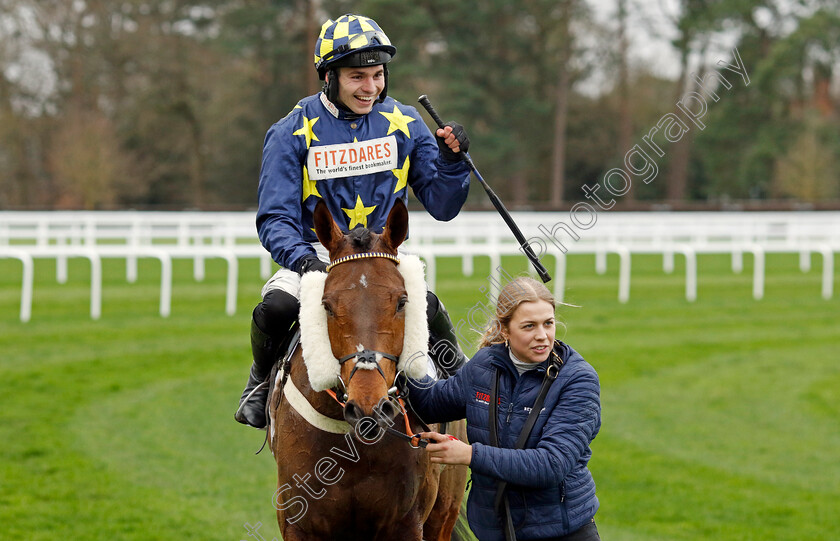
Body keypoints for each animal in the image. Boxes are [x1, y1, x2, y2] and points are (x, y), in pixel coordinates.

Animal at [268, 199, 470, 540]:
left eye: (402, 302)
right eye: (327, 305)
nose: (369, 408)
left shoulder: (406, 523)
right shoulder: (298, 523)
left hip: (445, 507)